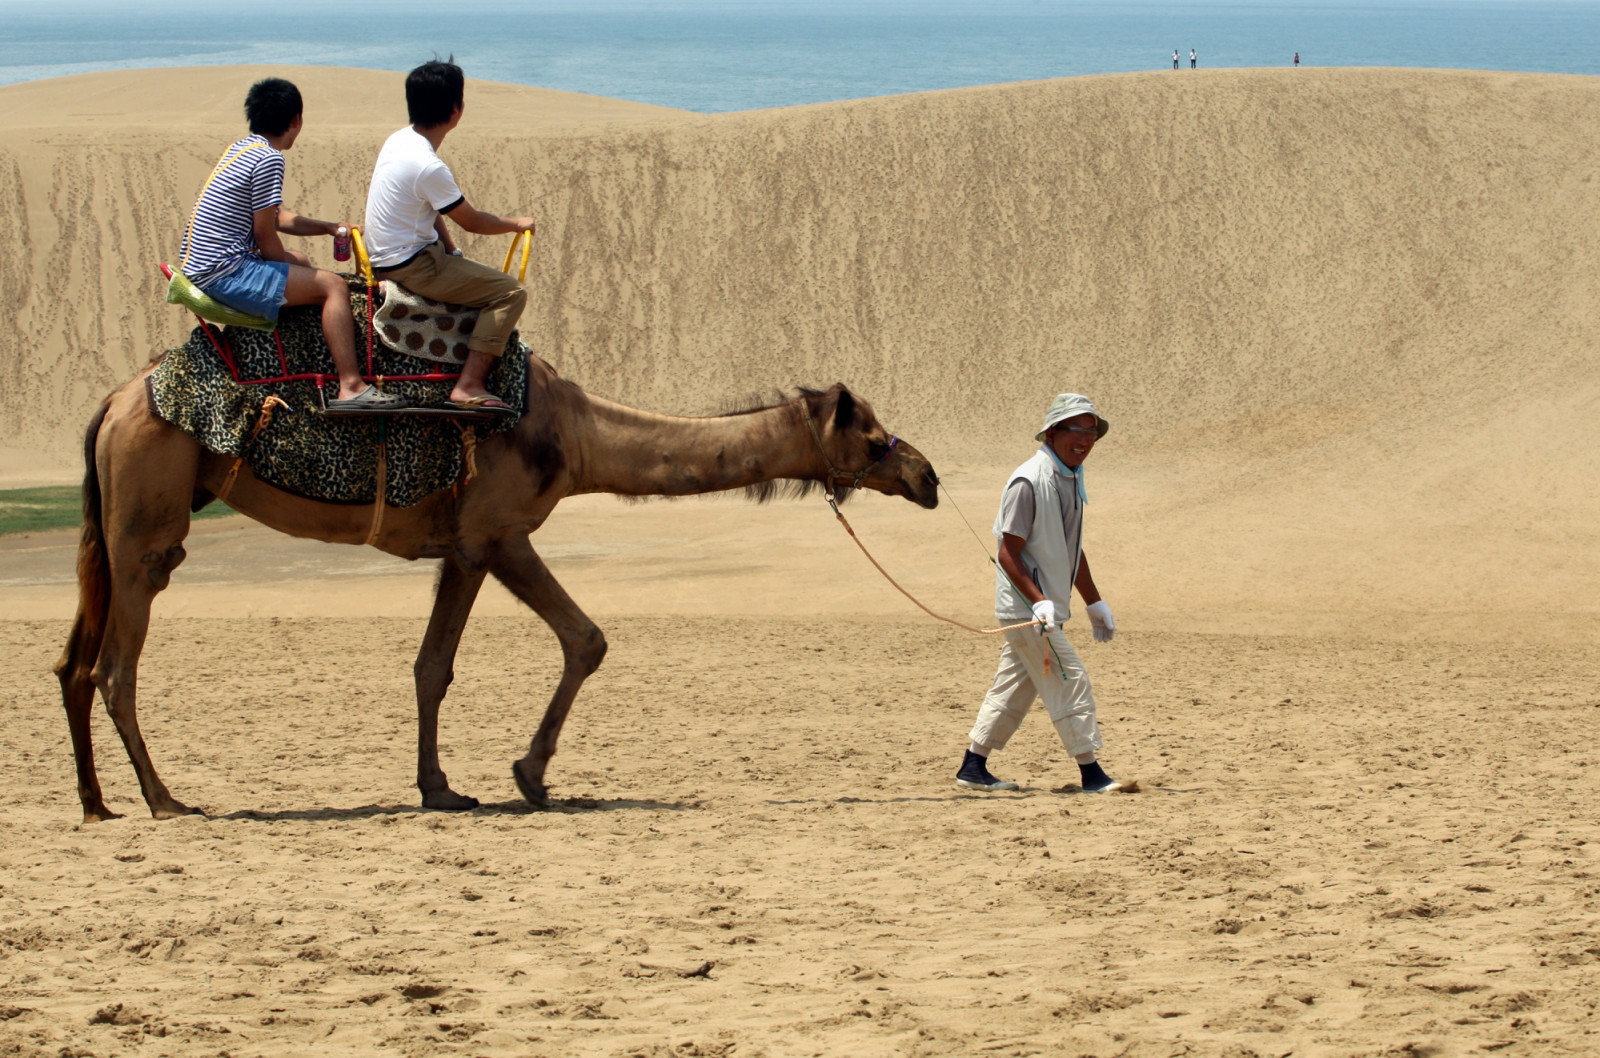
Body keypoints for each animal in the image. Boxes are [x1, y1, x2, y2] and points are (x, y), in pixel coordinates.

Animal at [53, 353, 939, 823]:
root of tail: (112, 401)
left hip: (109, 528)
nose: (926, 476)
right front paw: (530, 776)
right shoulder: (500, 532)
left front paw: (441, 788)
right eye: (870, 435)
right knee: (116, 667)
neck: (576, 437)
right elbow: (585, 639)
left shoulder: (463, 548)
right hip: (148, 524)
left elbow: (430, 667)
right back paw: (166, 801)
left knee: (72, 666)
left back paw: (97, 804)